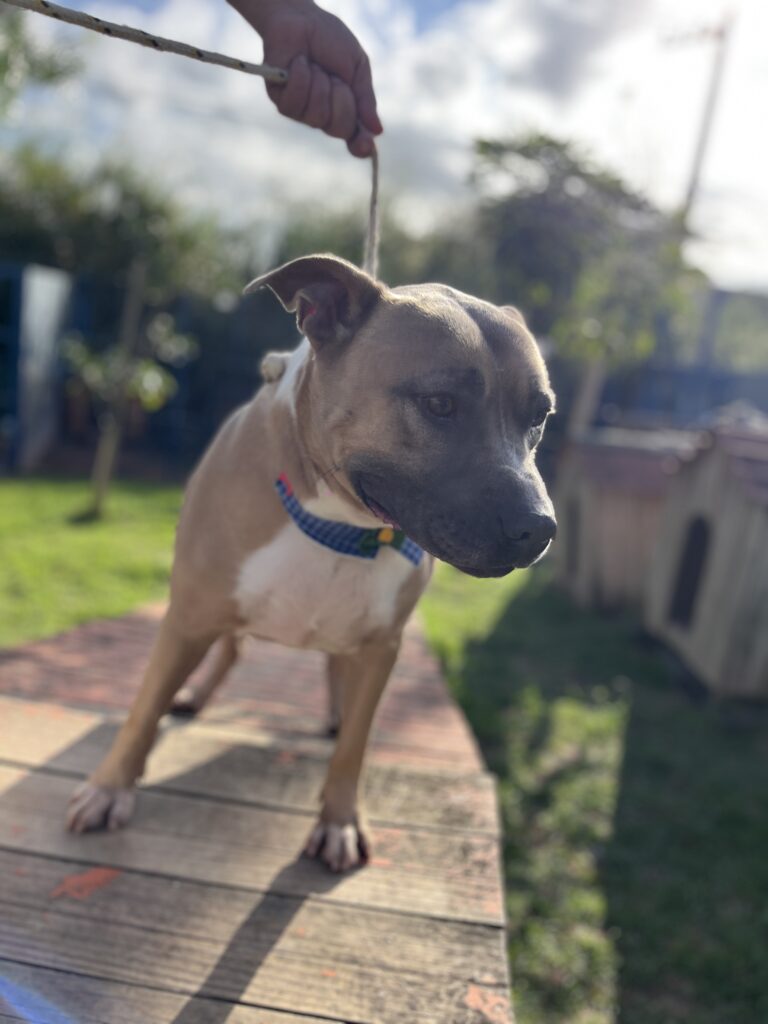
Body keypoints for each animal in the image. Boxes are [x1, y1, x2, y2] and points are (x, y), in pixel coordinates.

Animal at [66, 254, 556, 872]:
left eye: (540, 416)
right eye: (440, 404)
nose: (540, 527)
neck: (339, 526)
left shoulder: (380, 648)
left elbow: (355, 747)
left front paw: (339, 821)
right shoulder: (189, 616)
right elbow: (143, 709)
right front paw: (110, 787)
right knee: (233, 647)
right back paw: (196, 697)